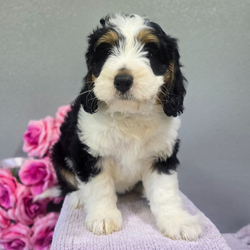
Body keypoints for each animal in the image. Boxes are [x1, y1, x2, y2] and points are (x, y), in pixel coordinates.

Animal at [45, 13, 202, 240]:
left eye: (150, 52)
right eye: (106, 52)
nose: (122, 80)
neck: (129, 115)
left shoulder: (162, 155)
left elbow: (166, 192)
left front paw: (178, 222)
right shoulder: (89, 152)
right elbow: (98, 188)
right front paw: (103, 218)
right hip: (59, 153)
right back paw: (78, 197)